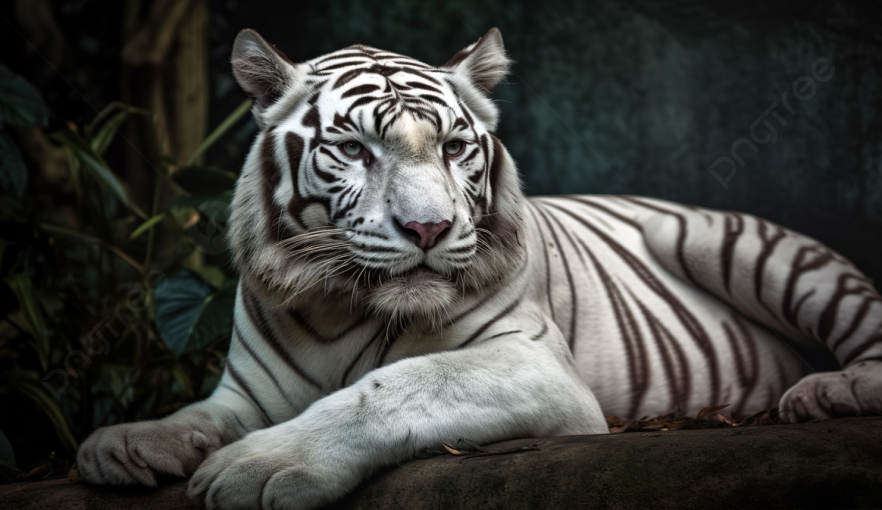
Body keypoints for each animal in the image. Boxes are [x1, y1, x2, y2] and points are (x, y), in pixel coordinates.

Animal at [77, 28, 882, 510]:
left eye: (455, 148)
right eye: (354, 149)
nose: (429, 228)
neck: (345, 304)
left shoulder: (536, 367)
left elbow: (396, 384)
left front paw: (262, 466)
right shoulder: (247, 391)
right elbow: (198, 415)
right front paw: (125, 443)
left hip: (729, 243)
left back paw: (827, 391)